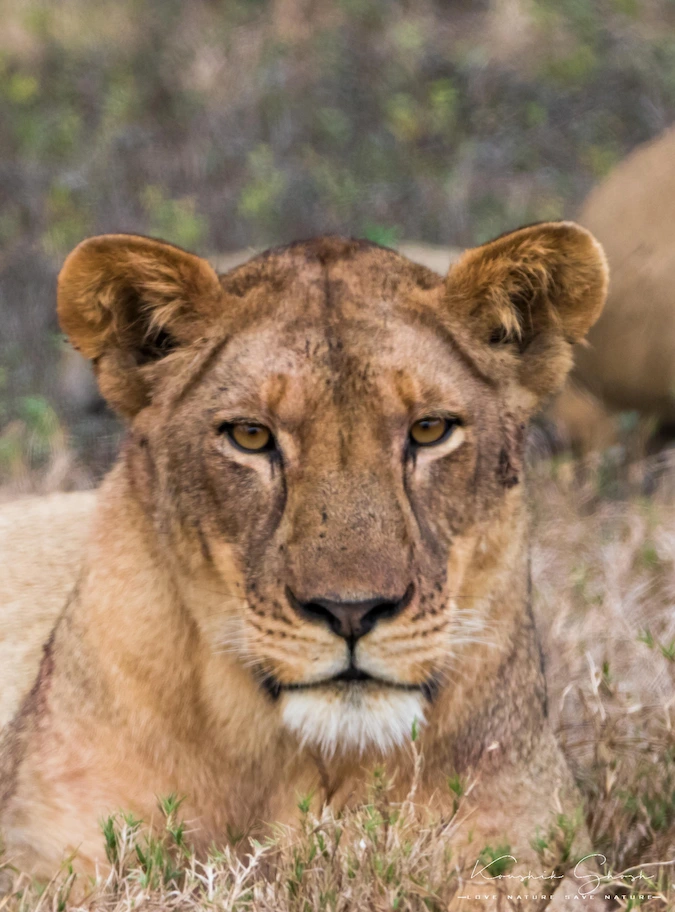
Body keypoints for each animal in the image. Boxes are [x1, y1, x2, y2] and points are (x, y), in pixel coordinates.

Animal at [0, 225, 608, 909]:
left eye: (429, 429)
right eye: (250, 437)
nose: (351, 612)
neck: (314, 764)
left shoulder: (538, 841)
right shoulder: (42, 854)